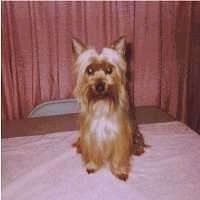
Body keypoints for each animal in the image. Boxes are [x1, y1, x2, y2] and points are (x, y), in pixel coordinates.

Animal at [72, 36, 145, 181]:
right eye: (89, 70)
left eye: (109, 70)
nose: (100, 86)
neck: (102, 103)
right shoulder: (91, 135)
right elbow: (92, 151)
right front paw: (92, 165)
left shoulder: (120, 136)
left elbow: (119, 156)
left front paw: (119, 171)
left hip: (134, 131)